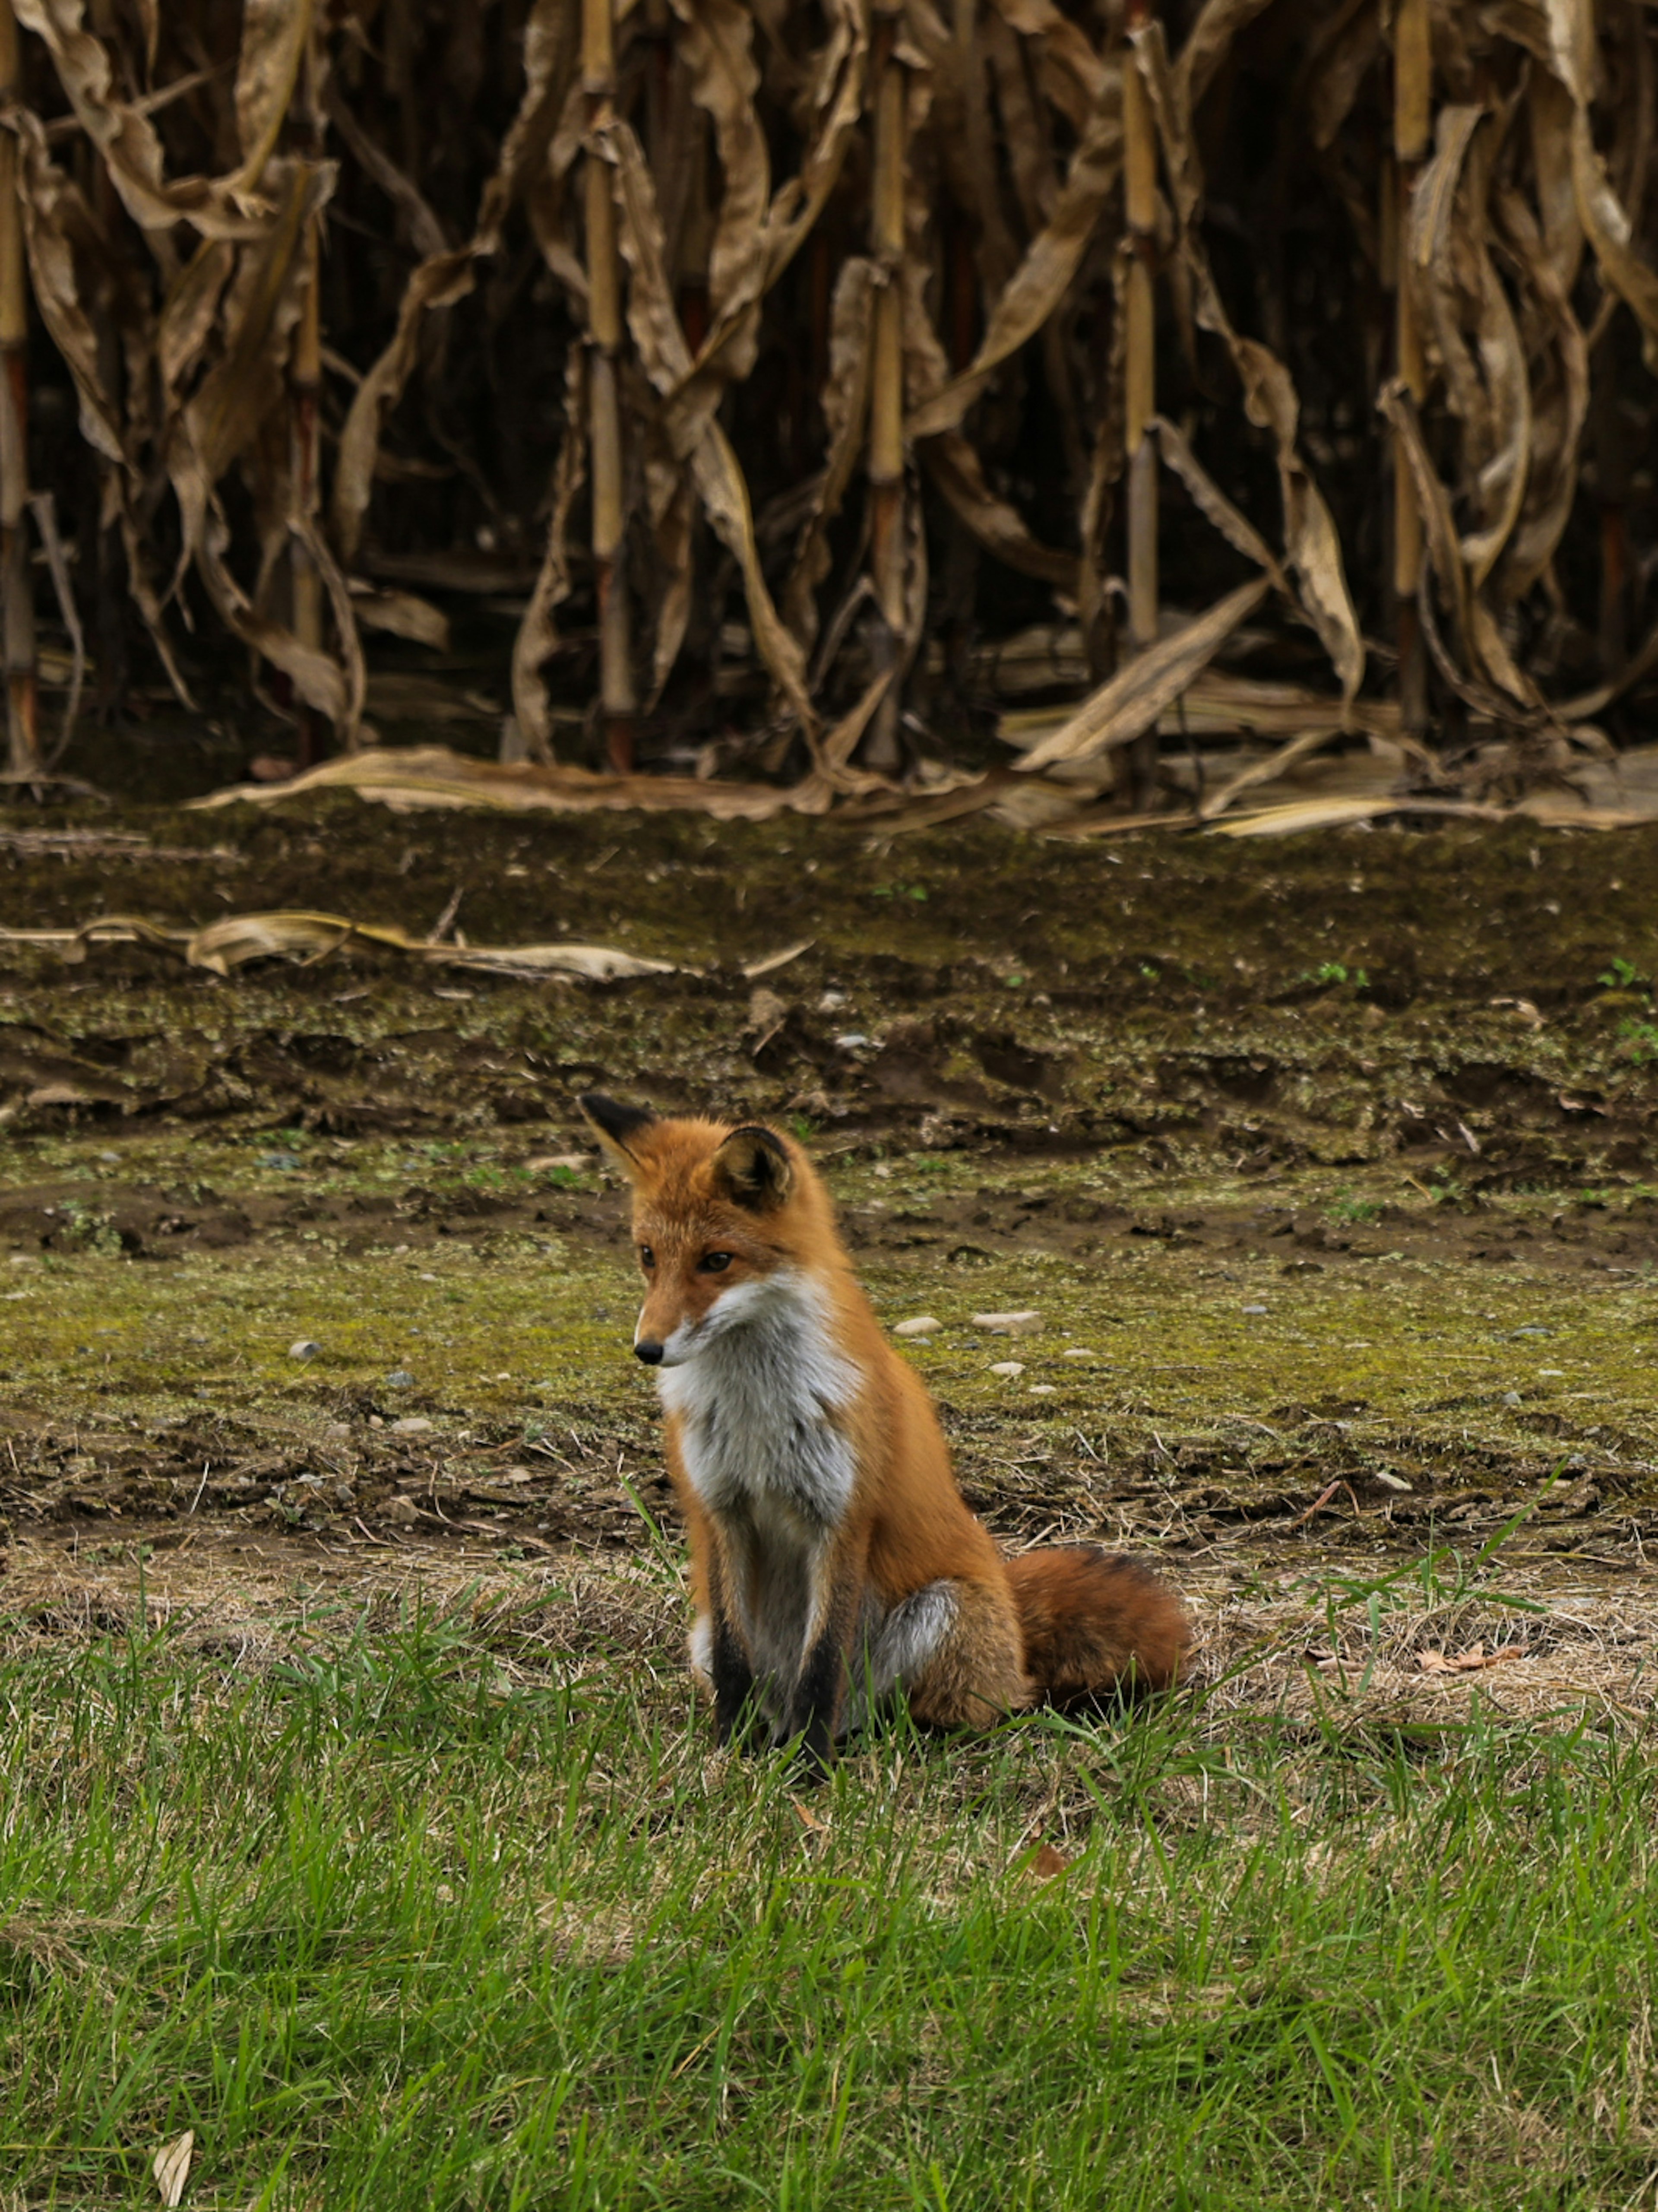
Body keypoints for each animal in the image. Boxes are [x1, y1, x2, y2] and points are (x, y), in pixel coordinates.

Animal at [579, 1097, 1185, 1769]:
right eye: (647, 1255)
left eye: (717, 1260)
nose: (648, 1349)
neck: (757, 1412)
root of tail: (1014, 1614)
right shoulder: (722, 1512)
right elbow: (736, 1665)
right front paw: (731, 1754)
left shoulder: (842, 1515)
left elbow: (822, 1665)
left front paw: (809, 1772)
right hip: (702, 1633)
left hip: (941, 1612)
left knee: (948, 1711)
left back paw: (881, 1741)